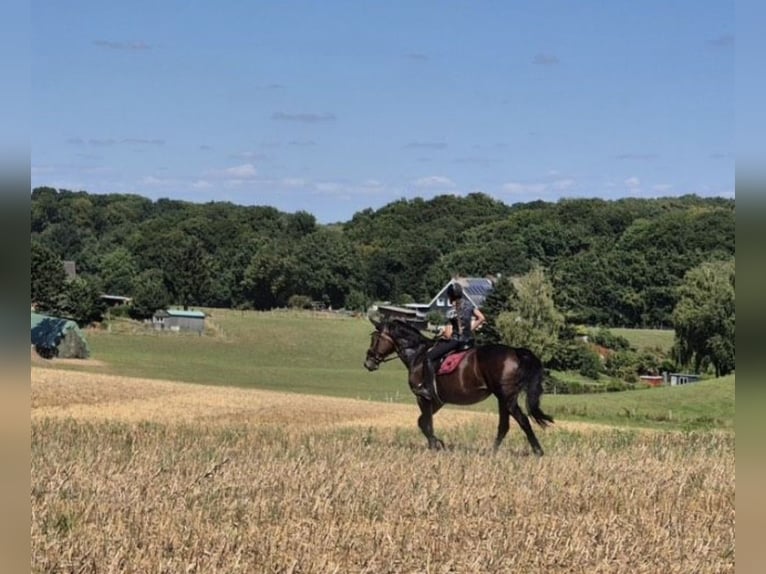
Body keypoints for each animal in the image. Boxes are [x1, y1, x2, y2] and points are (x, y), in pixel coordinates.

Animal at [363, 318, 553, 455]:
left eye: (375, 339)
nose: (368, 363)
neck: (418, 354)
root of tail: (514, 351)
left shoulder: (423, 397)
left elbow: (425, 423)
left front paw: (436, 445)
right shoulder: (437, 401)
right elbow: (422, 422)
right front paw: (437, 444)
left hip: (507, 398)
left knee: (523, 420)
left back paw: (538, 451)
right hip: (502, 398)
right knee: (504, 426)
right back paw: (492, 453)